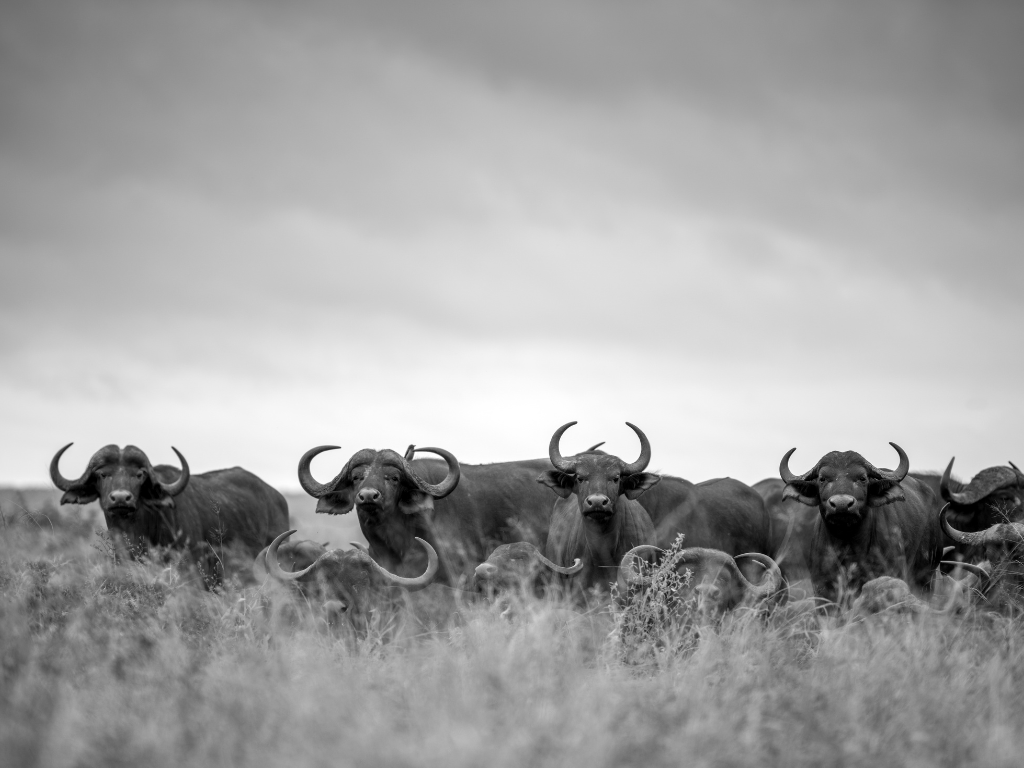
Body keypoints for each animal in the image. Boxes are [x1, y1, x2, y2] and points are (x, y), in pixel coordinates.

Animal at [779, 443, 945, 604]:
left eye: (862, 478)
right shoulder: (822, 586)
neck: (847, 545)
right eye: (822, 478)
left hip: (927, 576)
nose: (841, 504)